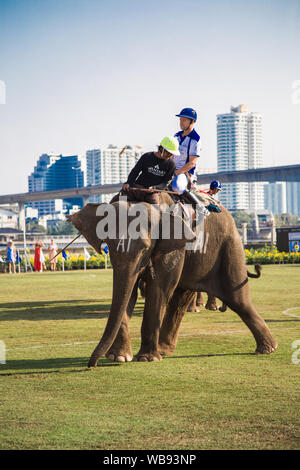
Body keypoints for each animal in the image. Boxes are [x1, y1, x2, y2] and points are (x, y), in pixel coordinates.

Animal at [67, 192, 278, 368]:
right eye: (108, 245)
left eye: (145, 248)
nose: (91, 365)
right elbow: (129, 293)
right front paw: (119, 357)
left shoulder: (174, 246)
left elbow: (159, 289)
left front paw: (146, 359)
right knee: (181, 298)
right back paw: (164, 350)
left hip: (230, 246)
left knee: (237, 298)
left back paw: (268, 349)